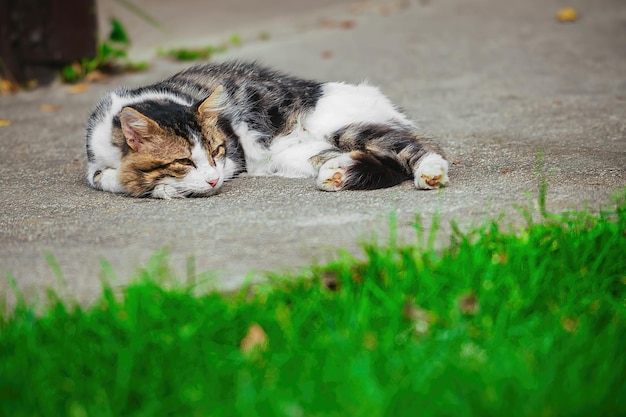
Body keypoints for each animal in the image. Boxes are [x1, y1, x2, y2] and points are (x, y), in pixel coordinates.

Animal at [85, 60, 448, 198]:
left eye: (217, 151)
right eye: (184, 161)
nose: (213, 180)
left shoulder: (232, 159)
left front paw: (163, 188)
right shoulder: (94, 162)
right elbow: (105, 178)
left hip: (341, 126)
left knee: (415, 145)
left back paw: (430, 172)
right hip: (297, 155)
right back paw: (337, 172)